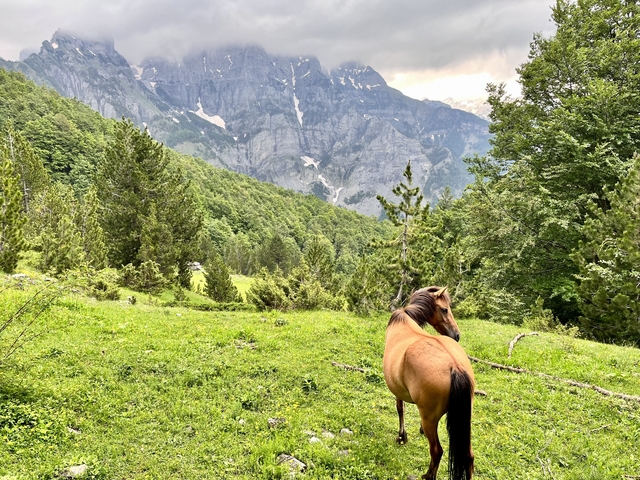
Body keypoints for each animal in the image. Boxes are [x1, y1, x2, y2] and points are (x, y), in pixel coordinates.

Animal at [383, 286, 475, 480]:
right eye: (445, 309)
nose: (456, 335)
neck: (405, 319)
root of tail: (455, 366)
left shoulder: (397, 392)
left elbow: (400, 409)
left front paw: (402, 437)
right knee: (468, 456)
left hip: (430, 420)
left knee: (436, 451)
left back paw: (427, 475)